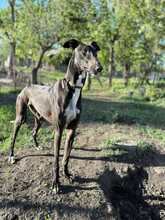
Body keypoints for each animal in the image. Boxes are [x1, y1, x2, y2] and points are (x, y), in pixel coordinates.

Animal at [9, 39, 102, 192]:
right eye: (84, 52)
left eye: (96, 53)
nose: (99, 68)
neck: (73, 88)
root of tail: (27, 86)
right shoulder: (58, 130)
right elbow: (56, 159)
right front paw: (55, 183)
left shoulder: (71, 130)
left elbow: (66, 157)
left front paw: (67, 174)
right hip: (20, 118)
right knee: (13, 136)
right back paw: (11, 156)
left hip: (39, 118)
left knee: (33, 132)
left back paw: (37, 146)